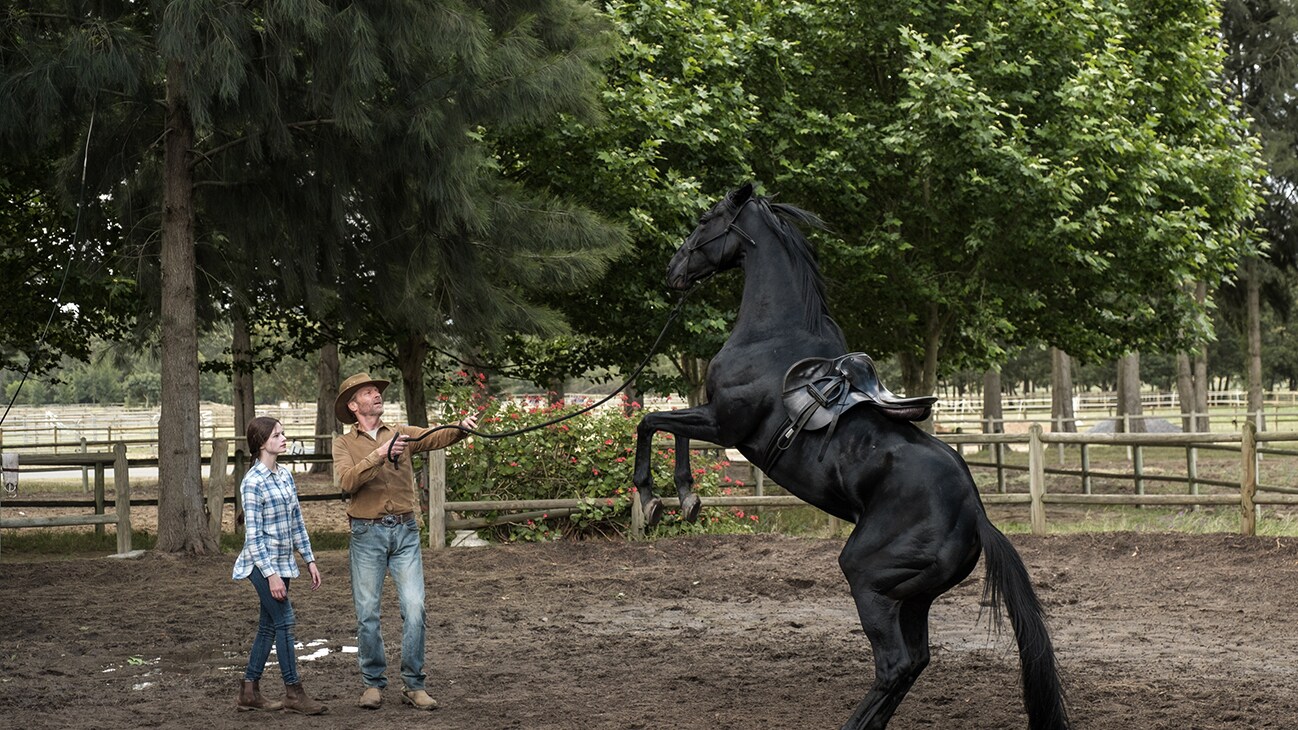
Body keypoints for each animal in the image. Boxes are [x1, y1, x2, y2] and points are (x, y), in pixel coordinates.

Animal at [633, 183, 1069, 727]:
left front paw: (661, 498)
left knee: (895, 664)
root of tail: (977, 517)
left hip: (868, 579)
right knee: (914, 661)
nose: (673, 271)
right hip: (913, 597)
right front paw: (681, 500)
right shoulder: (717, 421)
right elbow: (664, 426)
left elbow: (653, 423)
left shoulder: (723, 422)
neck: (772, 335)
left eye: (706, 219)